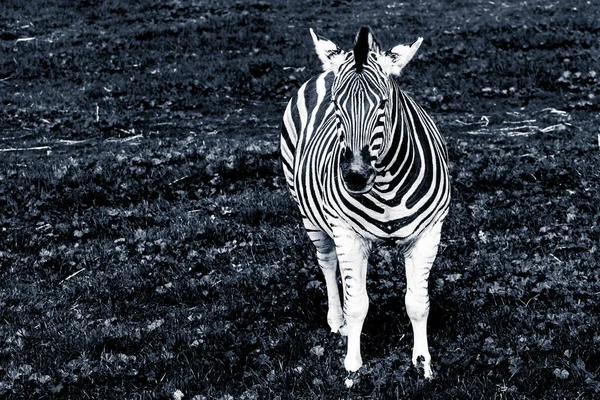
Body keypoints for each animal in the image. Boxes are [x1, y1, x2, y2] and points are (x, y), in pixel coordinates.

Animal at [282, 27, 450, 378]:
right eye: (335, 105)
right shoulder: (347, 233)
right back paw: (338, 321)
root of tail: (323, 72)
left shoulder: (428, 234)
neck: (385, 187)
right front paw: (353, 365)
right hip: (310, 215)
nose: (355, 177)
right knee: (328, 264)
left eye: (383, 103)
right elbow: (358, 303)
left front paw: (423, 363)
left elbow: (417, 303)